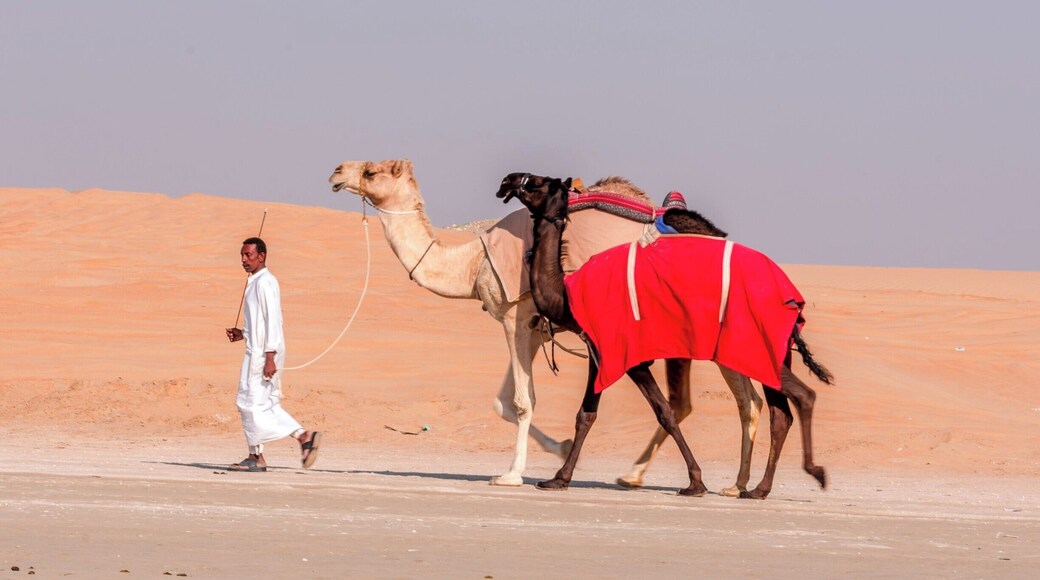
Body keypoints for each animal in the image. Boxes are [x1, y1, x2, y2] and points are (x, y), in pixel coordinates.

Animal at [327, 159, 760, 494]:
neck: (471, 264)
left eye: (371, 170)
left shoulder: (514, 317)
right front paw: (559, 449)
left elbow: (521, 400)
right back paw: (716, 482)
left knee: (726, 398)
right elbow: (504, 400)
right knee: (729, 399)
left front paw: (511, 475)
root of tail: (716, 234)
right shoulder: (535, 327)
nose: (337, 171)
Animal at [496, 172, 834, 499]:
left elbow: (665, 411)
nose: (507, 181)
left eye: (537, 182)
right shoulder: (599, 352)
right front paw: (558, 478)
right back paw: (757, 489)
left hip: (755, 348)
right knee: (780, 413)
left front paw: (695, 482)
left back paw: (810, 474)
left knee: (801, 396)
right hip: (769, 352)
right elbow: (586, 415)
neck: (567, 295)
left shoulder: (629, 357)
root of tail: (791, 299)